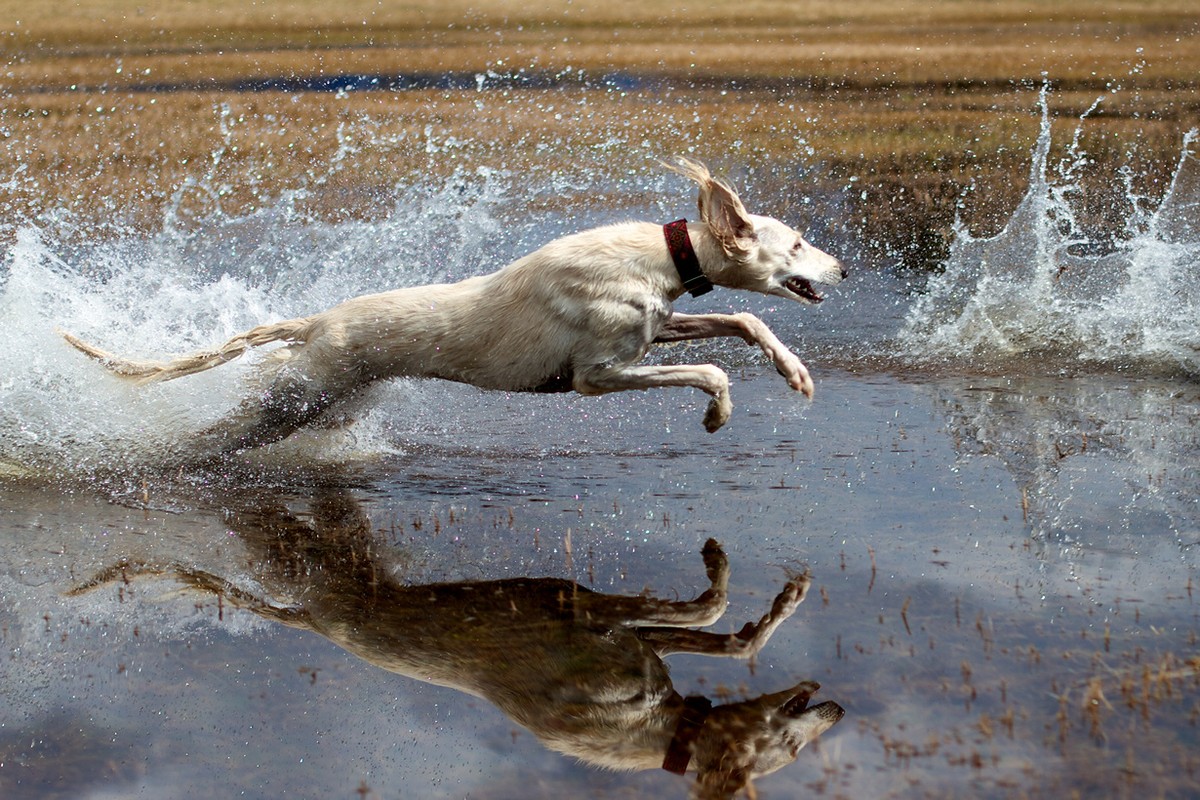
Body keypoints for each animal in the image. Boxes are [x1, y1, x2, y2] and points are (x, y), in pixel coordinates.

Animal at [63, 159, 844, 453]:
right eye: (798, 242)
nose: (842, 266)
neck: (656, 258)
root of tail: (316, 320)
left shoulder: (652, 332)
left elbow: (744, 318)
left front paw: (795, 373)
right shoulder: (595, 376)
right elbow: (712, 371)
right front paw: (717, 415)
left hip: (321, 401)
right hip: (288, 400)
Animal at [72, 491, 844, 796]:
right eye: (791, 750)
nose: (839, 711)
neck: (653, 727)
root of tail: (321, 623)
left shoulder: (624, 642)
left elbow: (721, 636)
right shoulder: (581, 611)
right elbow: (713, 614)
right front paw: (736, 576)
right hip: (321, 558)